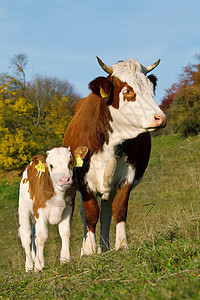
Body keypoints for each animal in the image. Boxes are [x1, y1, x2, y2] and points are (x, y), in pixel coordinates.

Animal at [62, 56, 166, 255]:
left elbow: (119, 209)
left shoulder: (128, 174)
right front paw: (89, 251)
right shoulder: (84, 178)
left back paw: (105, 247)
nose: (160, 118)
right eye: (127, 90)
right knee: (85, 214)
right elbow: (90, 214)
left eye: (151, 89)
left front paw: (122, 245)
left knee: (106, 211)